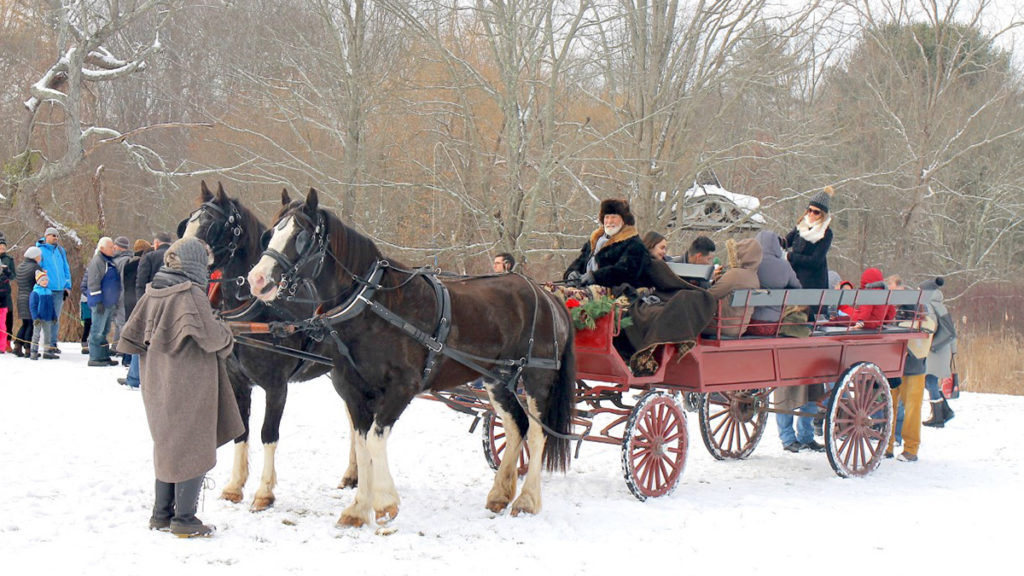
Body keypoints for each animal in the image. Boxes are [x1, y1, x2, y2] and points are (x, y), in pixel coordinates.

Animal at [179, 181, 359, 511]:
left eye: (213, 226)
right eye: (188, 222)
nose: (173, 259)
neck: (258, 311)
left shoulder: (277, 386)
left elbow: (267, 434)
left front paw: (264, 492)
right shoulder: (237, 382)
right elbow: (242, 431)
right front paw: (234, 486)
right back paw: (353, 474)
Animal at [246, 188, 576, 526]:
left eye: (301, 236)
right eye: (270, 233)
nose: (257, 279)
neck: (371, 304)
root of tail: (547, 295)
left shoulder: (402, 388)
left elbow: (375, 440)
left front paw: (385, 503)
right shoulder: (353, 390)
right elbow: (362, 444)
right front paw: (358, 509)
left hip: (537, 378)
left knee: (537, 434)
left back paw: (527, 500)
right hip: (498, 379)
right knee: (515, 426)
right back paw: (499, 495)